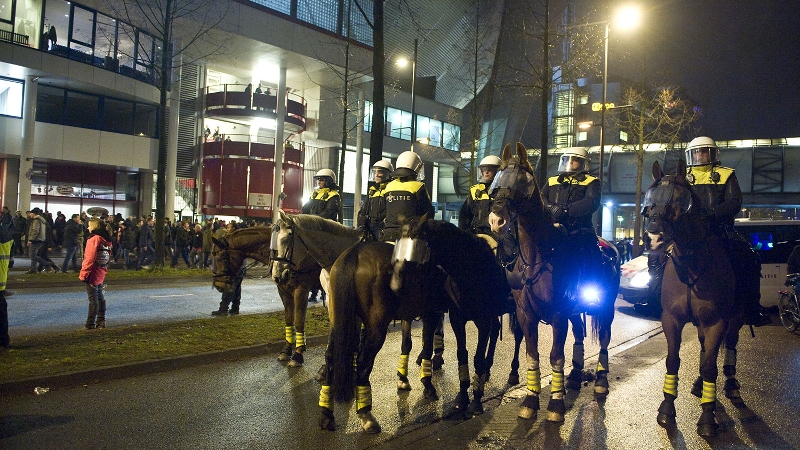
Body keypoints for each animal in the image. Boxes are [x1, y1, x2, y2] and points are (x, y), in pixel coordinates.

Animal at [212, 227, 324, 368]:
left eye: (222, 257)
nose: (218, 285)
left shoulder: (301, 291)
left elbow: (299, 322)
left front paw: (298, 355)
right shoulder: (284, 291)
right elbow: (289, 319)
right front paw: (286, 350)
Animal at [640, 160, 748, 438]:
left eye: (679, 201)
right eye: (649, 201)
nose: (653, 239)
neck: (691, 265)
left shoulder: (716, 322)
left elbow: (711, 365)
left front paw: (708, 416)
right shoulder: (671, 319)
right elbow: (673, 361)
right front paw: (667, 408)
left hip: (736, 318)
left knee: (730, 347)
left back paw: (731, 386)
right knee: (703, 347)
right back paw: (700, 384)